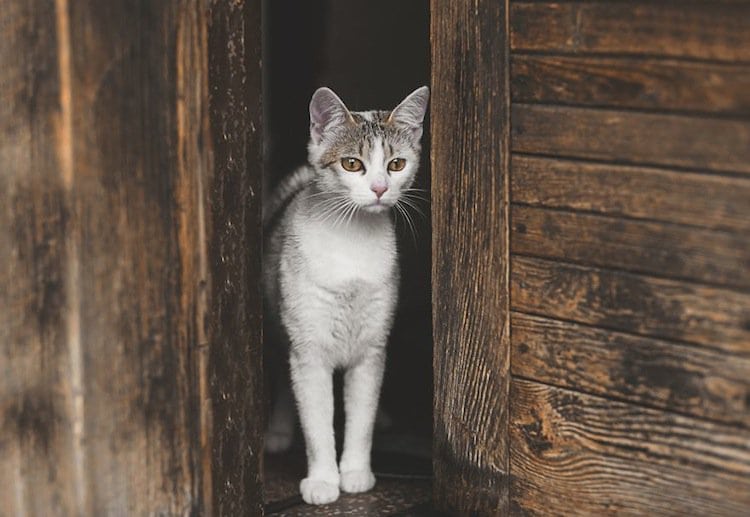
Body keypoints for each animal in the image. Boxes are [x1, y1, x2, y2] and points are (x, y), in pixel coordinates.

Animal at [262, 85, 428, 504]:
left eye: (397, 164)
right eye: (352, 164)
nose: (380, 188)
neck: (352, 237)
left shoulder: (372, 349)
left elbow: (361, 418)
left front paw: (355, 471)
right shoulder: (308, 351)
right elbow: (317, 423)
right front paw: (323, 480)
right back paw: (279, 430)